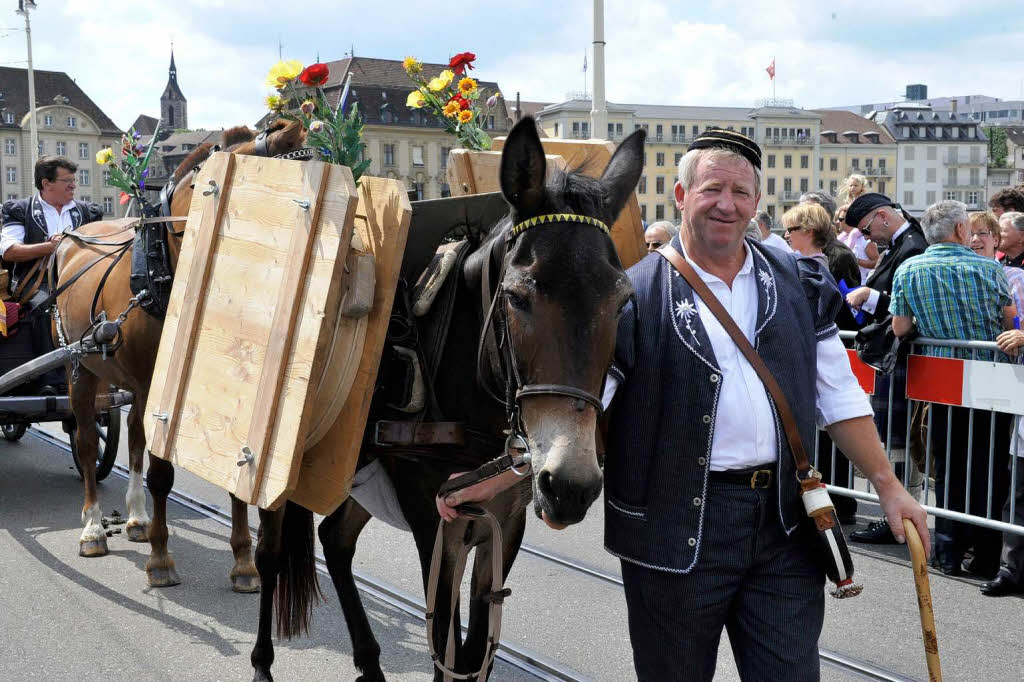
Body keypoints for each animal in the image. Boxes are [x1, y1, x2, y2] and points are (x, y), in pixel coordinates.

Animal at [51, 119, 305, 585]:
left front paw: (244, 561)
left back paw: (136, 519)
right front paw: (161, 559)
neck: (169, 265)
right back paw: (93, 527)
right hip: (80, 367)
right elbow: (162, 474)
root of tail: (66, 239)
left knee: (133, 436)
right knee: (86, 440)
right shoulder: (155, 387)